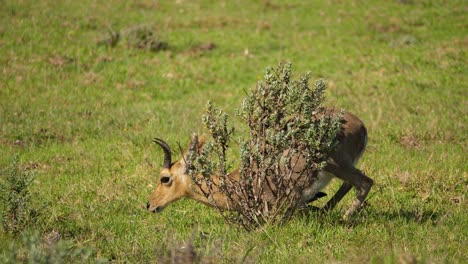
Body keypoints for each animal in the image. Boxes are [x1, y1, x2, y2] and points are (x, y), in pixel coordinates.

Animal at [146, 110, 372, 220]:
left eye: (165, 178)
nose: (150, 205)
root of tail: (361, 126)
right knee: (350, 185)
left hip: (337, 165)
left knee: (365, 182)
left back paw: (344, 218)